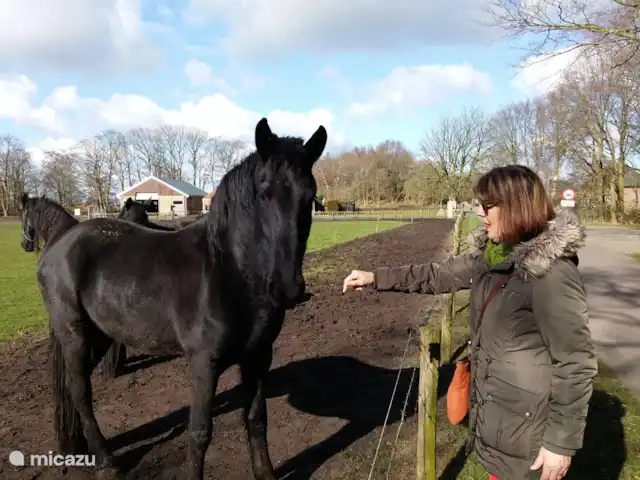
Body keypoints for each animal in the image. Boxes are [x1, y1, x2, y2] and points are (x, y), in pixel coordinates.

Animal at [31, 117, 327, 480]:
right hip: (75, 334)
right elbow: (200, 433)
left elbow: (257, 418)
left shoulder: (259, 356)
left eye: (310, 196)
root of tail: (61, 240)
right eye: (264, 191)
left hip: (101, 334)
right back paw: (107, 462)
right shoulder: (203, 363)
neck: (229, 271)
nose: (287, 288)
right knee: (80, 392)